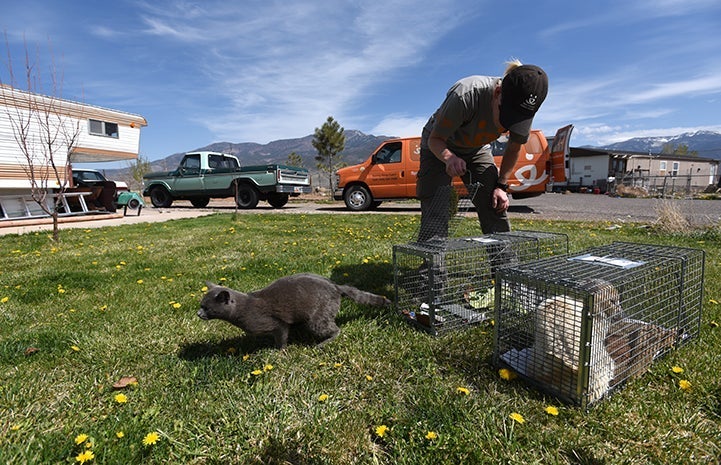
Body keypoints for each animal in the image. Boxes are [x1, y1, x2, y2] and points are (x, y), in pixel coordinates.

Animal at [195, 274, 388, 346]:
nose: (198, 313)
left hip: (317, 319)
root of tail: (335, 286)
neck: (245, 307)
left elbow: (280, 337)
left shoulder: (277, 324)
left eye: (206, 307)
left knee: (335, 330)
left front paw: (279, 351)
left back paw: (322, 343)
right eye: (201, 305)